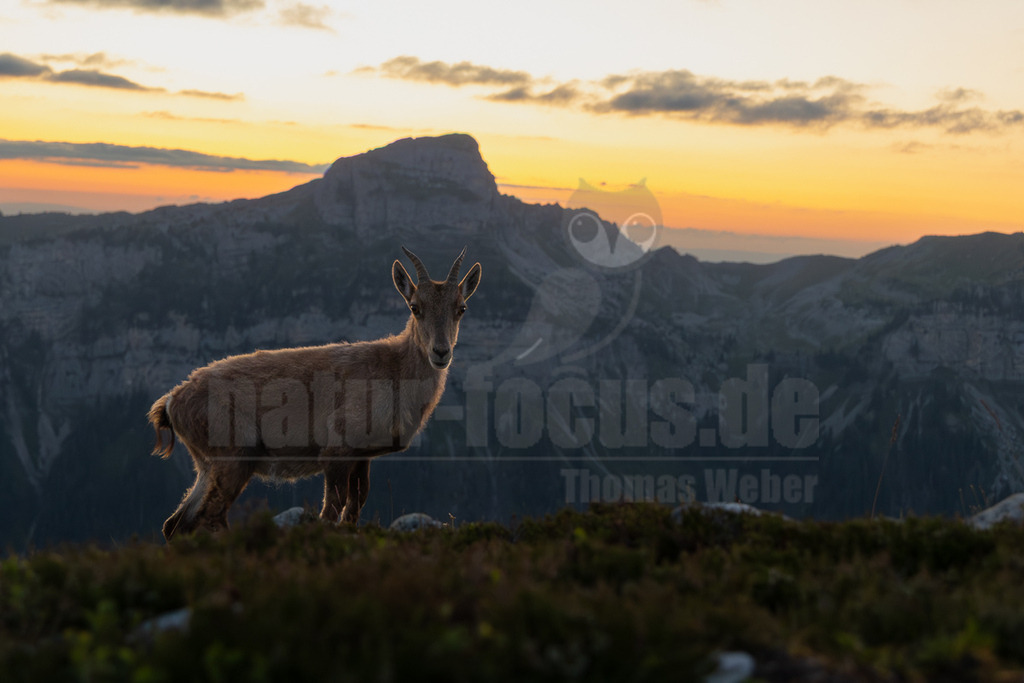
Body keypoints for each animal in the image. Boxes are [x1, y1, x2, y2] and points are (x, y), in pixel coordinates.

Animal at [147, 247, 481, 540]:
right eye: (415, 307)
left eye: (461, 308)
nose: (441, 352)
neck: (393, 370)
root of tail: (173, 401)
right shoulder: (336, 450)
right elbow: (331, 510)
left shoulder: (362, 456)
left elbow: (355, 507)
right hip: (234, 456)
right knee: (210, 517)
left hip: (207, 466)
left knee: (176, 524)